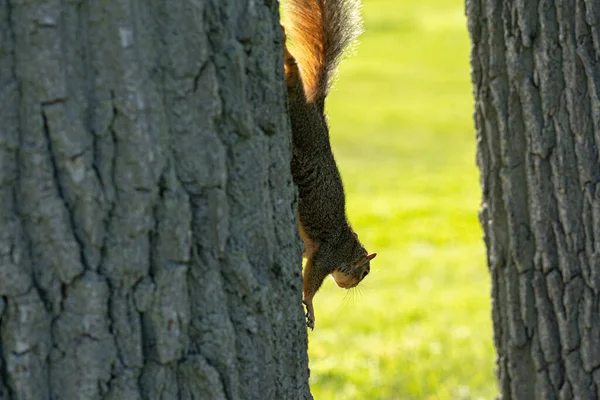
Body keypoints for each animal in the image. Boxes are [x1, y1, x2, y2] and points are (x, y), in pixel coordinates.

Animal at [282, 0, 376, 330]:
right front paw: (310, 307)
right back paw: (286, 57)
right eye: (364, 272)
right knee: (295, 85)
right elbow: (311, 283)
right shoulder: (326, 255)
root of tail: (318, 110)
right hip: (304, 125)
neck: (346, 244)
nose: (351, 285)